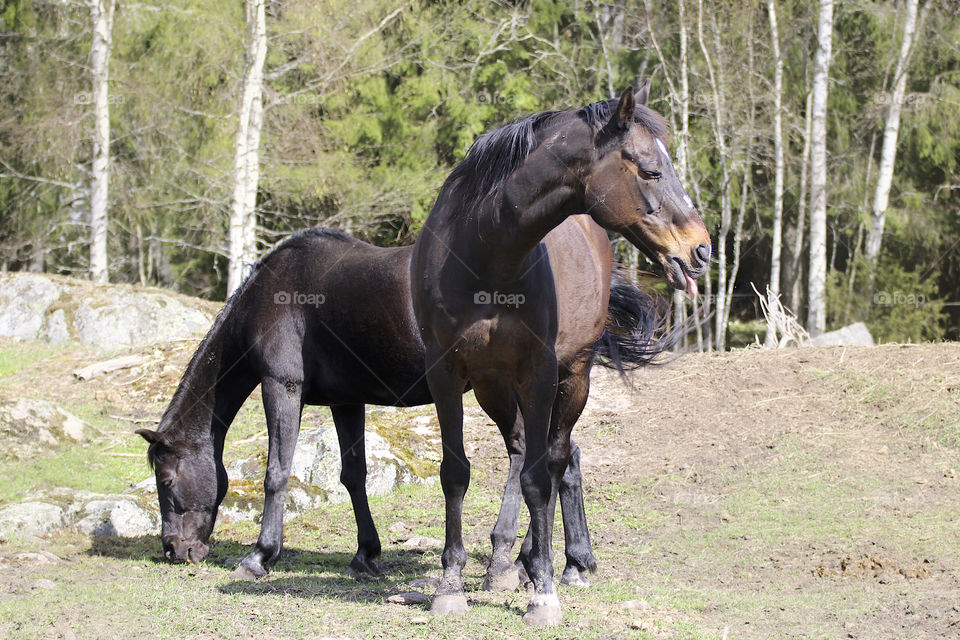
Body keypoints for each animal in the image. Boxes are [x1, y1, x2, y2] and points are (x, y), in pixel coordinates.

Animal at [135, 221, 663, 586]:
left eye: (165, 479)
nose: (173, 550)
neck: (273, 294)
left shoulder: (281, 387)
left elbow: (276, 473)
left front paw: (261, 555)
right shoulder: (346, 401)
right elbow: (353, 475)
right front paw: (366, 553)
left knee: (529, 456)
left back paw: (509, 556)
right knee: (563, 458)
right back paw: (567, 560)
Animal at [410, 81, 711, 625]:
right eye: (651, 170)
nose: (701, 249)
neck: (485, 251)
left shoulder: (540, 372)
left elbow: (539, 478)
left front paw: (543, 592)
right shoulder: (445, 372)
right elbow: (455, 473)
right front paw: (451, 584)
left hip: (573, 378)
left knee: (555, 458)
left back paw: (561, 563)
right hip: (494, 386)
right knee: (524, 449)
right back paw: (513, 560)